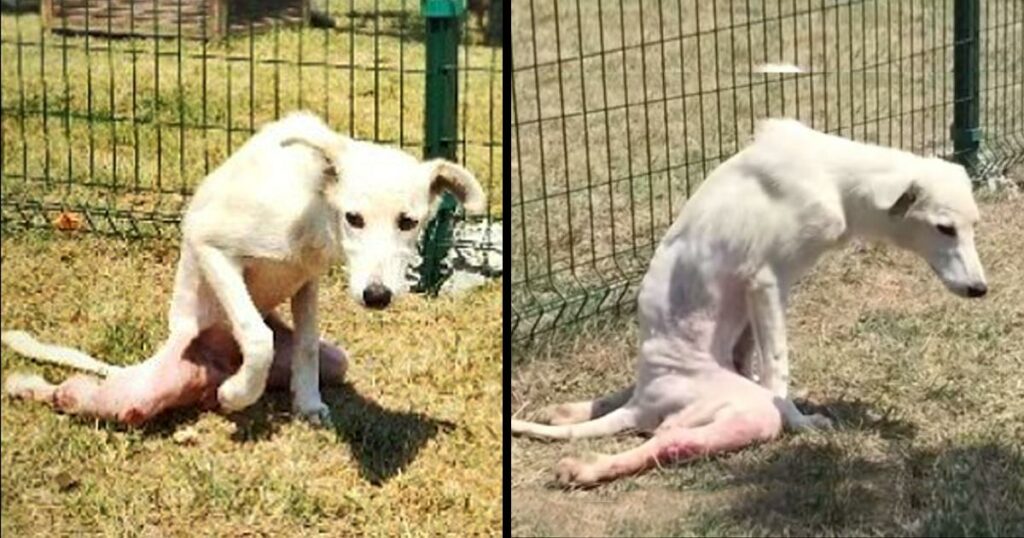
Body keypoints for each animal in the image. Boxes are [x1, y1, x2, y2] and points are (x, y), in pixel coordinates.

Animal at [2, 111, 485, 426]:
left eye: (409, 222)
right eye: (354, 218)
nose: (378, 296)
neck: (311, 206)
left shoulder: (307, 282)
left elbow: (305, 346)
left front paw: (307, 404)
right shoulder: (209, 244)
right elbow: (257, 334)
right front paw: (238, 394)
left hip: (337, 361)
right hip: (125, 394)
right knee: (70, 393)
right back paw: (24, 385)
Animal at [516, 118, 987, 485]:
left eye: (973, 226)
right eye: (944, 228)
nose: (980, 289)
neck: (834, 176)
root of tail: (646, 398)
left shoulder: (764, 295)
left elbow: (757, 360)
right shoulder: (766, 282)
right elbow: (777, 369)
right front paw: (801, 423)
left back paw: (569, 412)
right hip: (745, 411)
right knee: (671, 440)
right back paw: (585, 469)